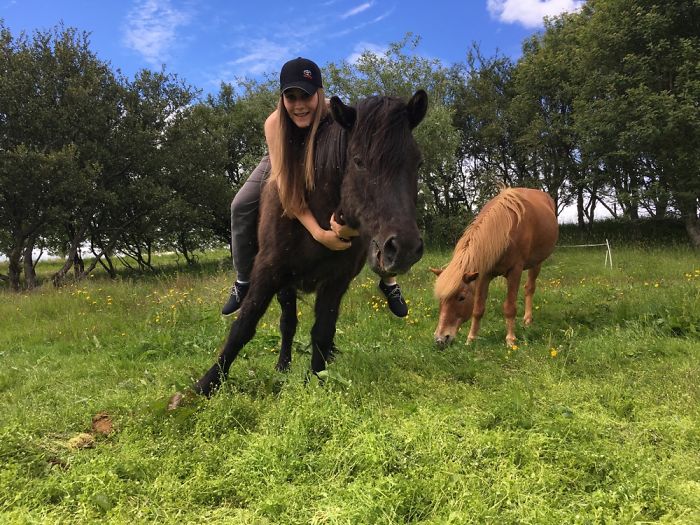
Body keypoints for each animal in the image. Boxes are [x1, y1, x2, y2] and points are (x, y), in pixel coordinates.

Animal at [169, 91, 427, 407]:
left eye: (417, 163)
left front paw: (317, 381)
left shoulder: (336, 282)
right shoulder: (268, 271)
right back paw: (281, 366)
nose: (403, 249)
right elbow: (243, 327)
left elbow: (322, 332)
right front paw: (203, 387)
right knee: (287, 323)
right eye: (358, 161)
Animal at [431, 187, 558, 347]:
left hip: (537, 263)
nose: (441, 339)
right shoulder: (483, 274)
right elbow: (478, 309)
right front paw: (471, 338)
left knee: (530, 288)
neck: (504, 231)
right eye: (440, 299)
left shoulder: (515, 271)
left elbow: (510, 307)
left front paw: (510, 339)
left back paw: (528, 319)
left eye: (461, 297)